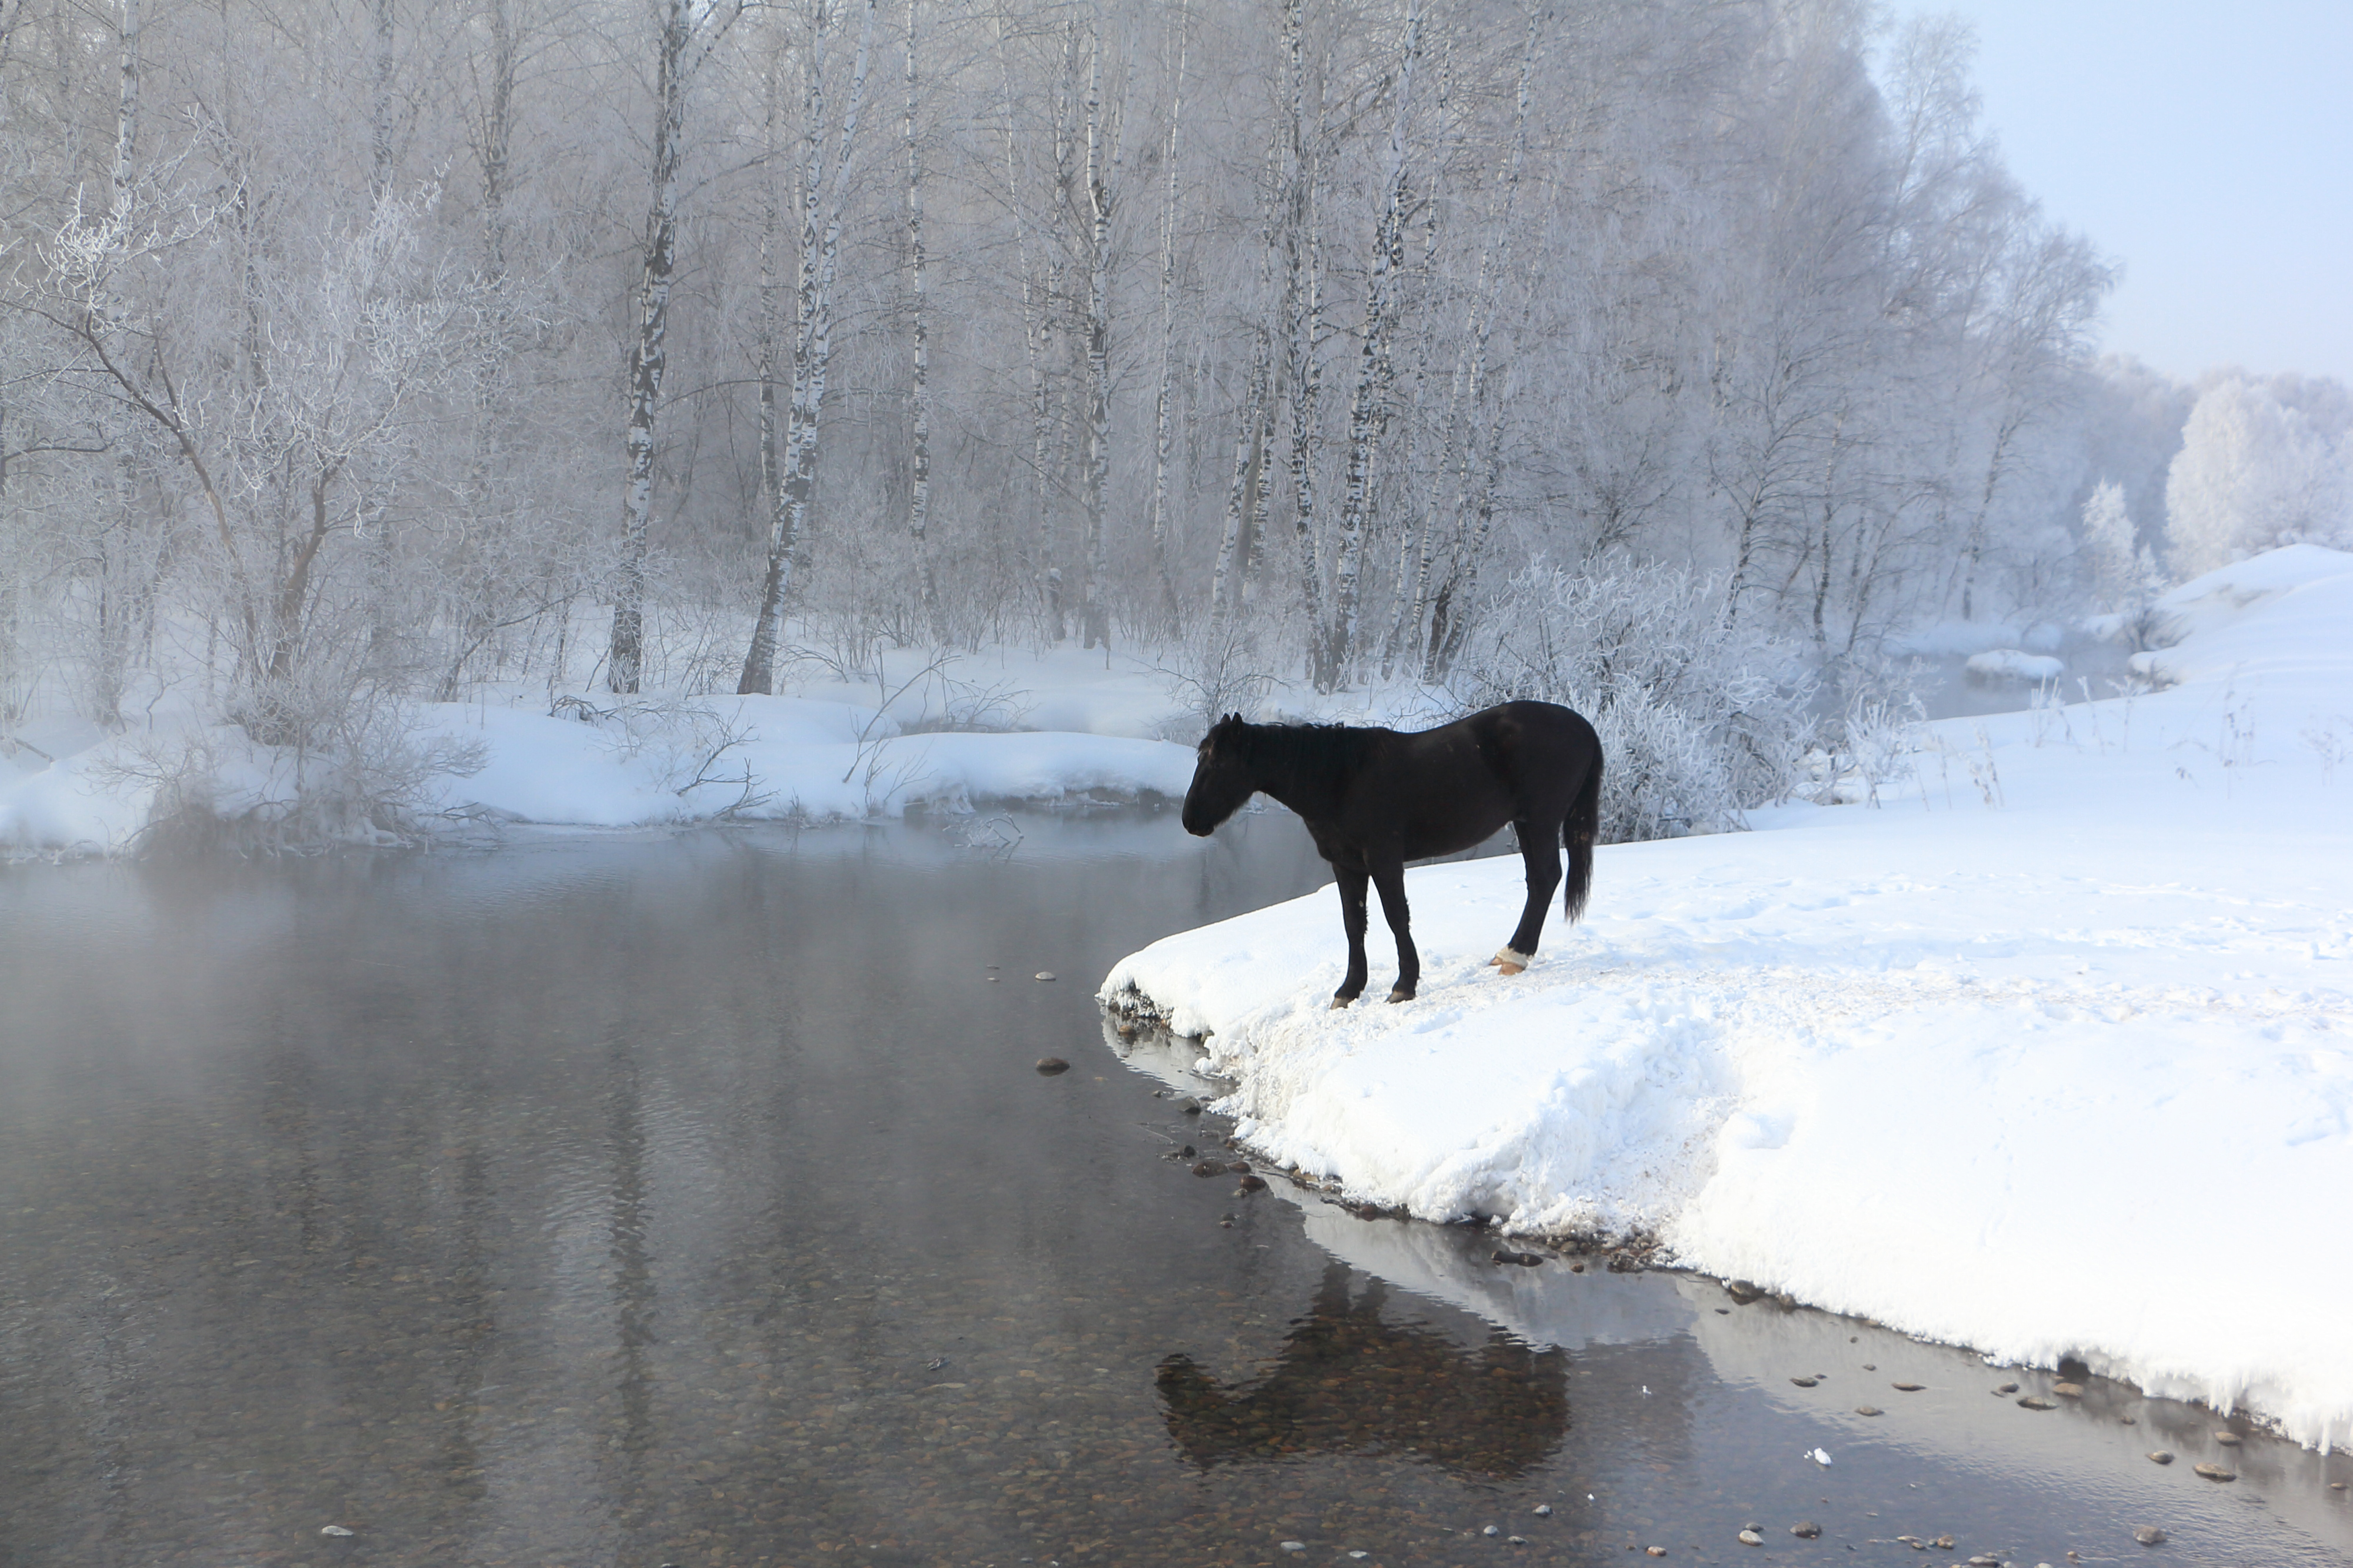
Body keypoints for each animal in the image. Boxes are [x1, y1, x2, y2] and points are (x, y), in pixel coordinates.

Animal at [1176, 696, 1600, 1003]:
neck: (1341, 779)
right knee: (1540, 881)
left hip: (1539, 822)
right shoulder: (1345, 865)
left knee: (1545, 879)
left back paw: (1516, 957)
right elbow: (1353, 924)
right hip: (1529, 824)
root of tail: (1582, 726)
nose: (1189, 820)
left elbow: (1397, 917)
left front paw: (1404, 985)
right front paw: (1349, 989)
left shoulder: (1383, 860)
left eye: (1218, 764)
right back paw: (1511, 953)